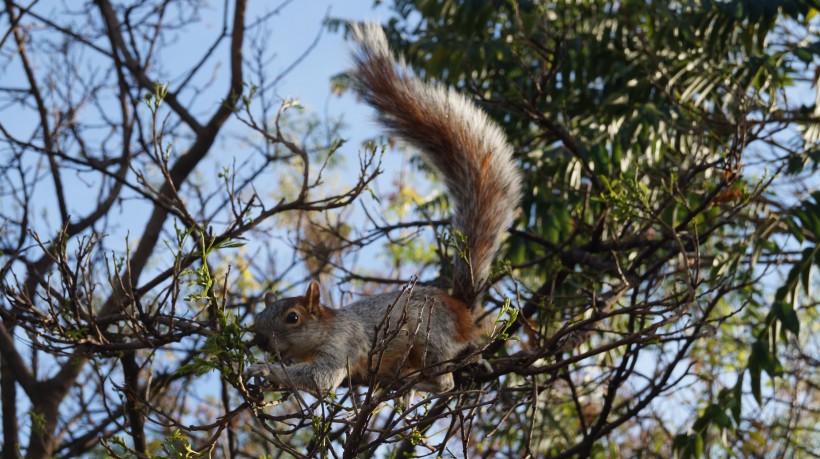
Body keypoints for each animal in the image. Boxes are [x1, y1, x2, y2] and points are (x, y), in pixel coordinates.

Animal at [247, 23, 524, 398]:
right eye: (259, 317)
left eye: (293, 317)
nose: (261, 341)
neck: (325, 328)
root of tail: (463, 312)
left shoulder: (342, 345)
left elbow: (321, 378)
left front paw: (266, 369)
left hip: (431, 340)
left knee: (444, 381)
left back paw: (414, 380)